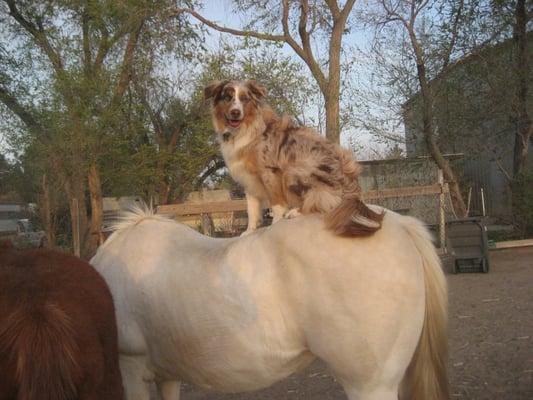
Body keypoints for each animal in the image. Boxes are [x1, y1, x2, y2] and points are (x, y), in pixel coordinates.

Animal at [204, 79, 382, 236]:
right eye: (227, 97)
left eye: (244, 99)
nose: (236, 112)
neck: (243, 131)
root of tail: (353, 191)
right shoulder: (248, 179)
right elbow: (251, 209)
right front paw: (249, 231)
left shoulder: (270, 172)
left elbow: (276, 205)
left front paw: (274, 225)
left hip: (294, 170)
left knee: (324, 202)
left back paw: (295, 212)